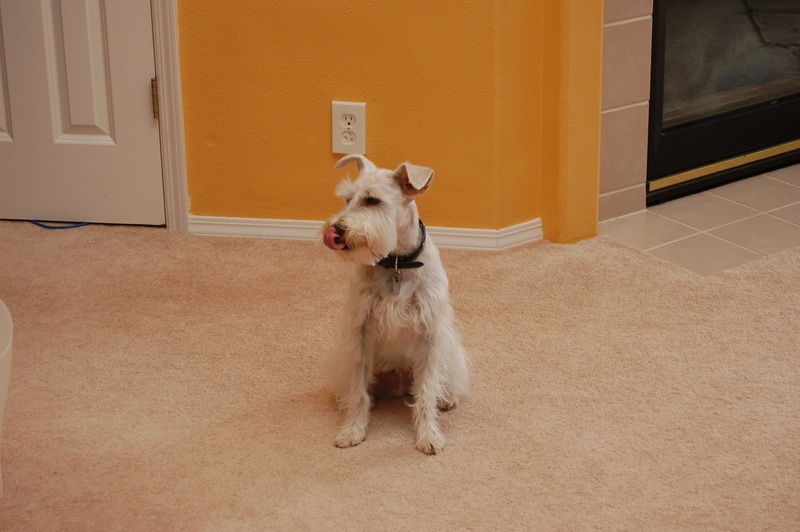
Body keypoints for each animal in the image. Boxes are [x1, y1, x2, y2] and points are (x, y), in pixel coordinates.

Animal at [322, 154, 470, 455]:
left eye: (372, 200)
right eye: (347, 199)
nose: (336, 231)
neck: (397, 262)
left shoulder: (430, 334)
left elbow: (426, 391)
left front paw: (428, 435)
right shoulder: (360, 331)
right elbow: (358, 389)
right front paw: (353, 430)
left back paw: (446, 398)